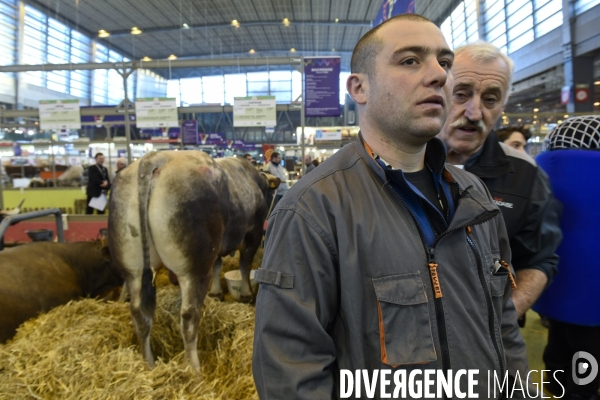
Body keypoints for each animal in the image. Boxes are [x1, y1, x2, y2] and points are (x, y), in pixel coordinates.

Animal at [108, 152, 274, 370]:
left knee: (139, 312)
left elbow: (218, 266)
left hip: (134, 267)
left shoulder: (218, 247)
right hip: (194, 267)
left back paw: (149, 363)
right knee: (189, 316)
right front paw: (246, 294)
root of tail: (157, 157)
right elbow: (245, 265)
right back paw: (194, 368)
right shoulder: (252, 234)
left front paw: (217, 293)